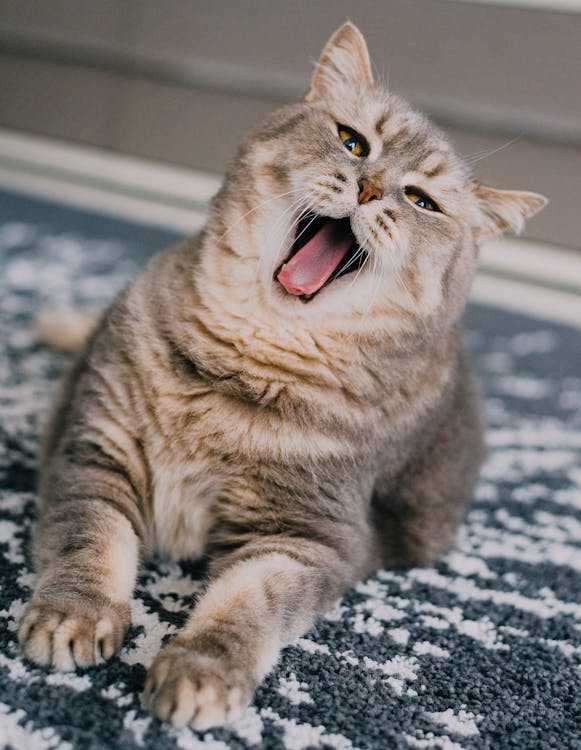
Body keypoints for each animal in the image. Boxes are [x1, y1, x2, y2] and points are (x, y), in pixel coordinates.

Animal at [17, 20, 544, 732]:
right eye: (353, 141)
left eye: (420, 200)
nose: (370, 189)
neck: (245, 357)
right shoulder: (94, 452)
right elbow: (89, 542)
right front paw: (74, 614)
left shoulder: (307, 537)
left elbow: (245, 607)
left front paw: (199, 672)